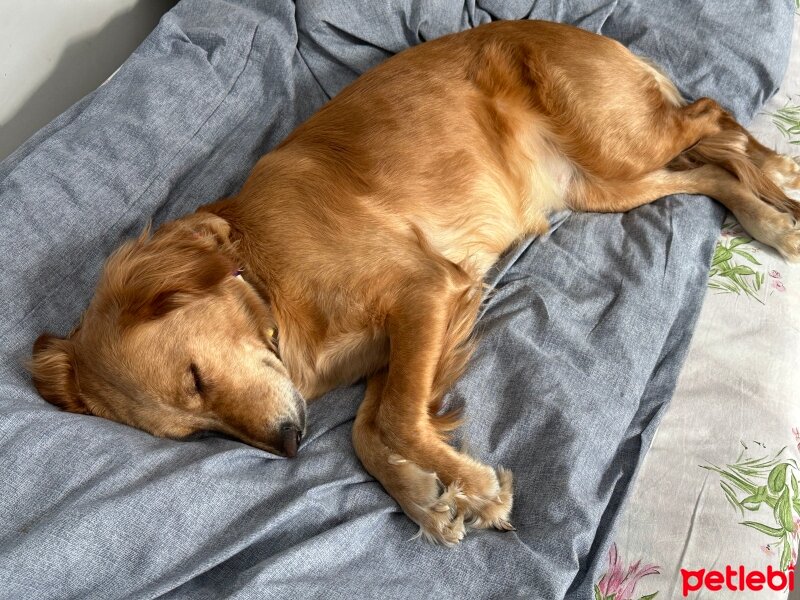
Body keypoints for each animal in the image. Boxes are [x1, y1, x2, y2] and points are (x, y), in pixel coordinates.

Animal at [28, 19, 796, 544]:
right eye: (196, 433)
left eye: (195, 377)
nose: (288, 445)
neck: (265, 276)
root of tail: (576, 30)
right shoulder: (398, 344)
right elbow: (369, 434)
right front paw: (427, 497)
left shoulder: (423, 293)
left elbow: (395, 419)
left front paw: (473, 484)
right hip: (603, 187)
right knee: (706, 172)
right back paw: (766, 215)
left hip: (616, 144)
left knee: (712, 115)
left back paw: (777, 175)